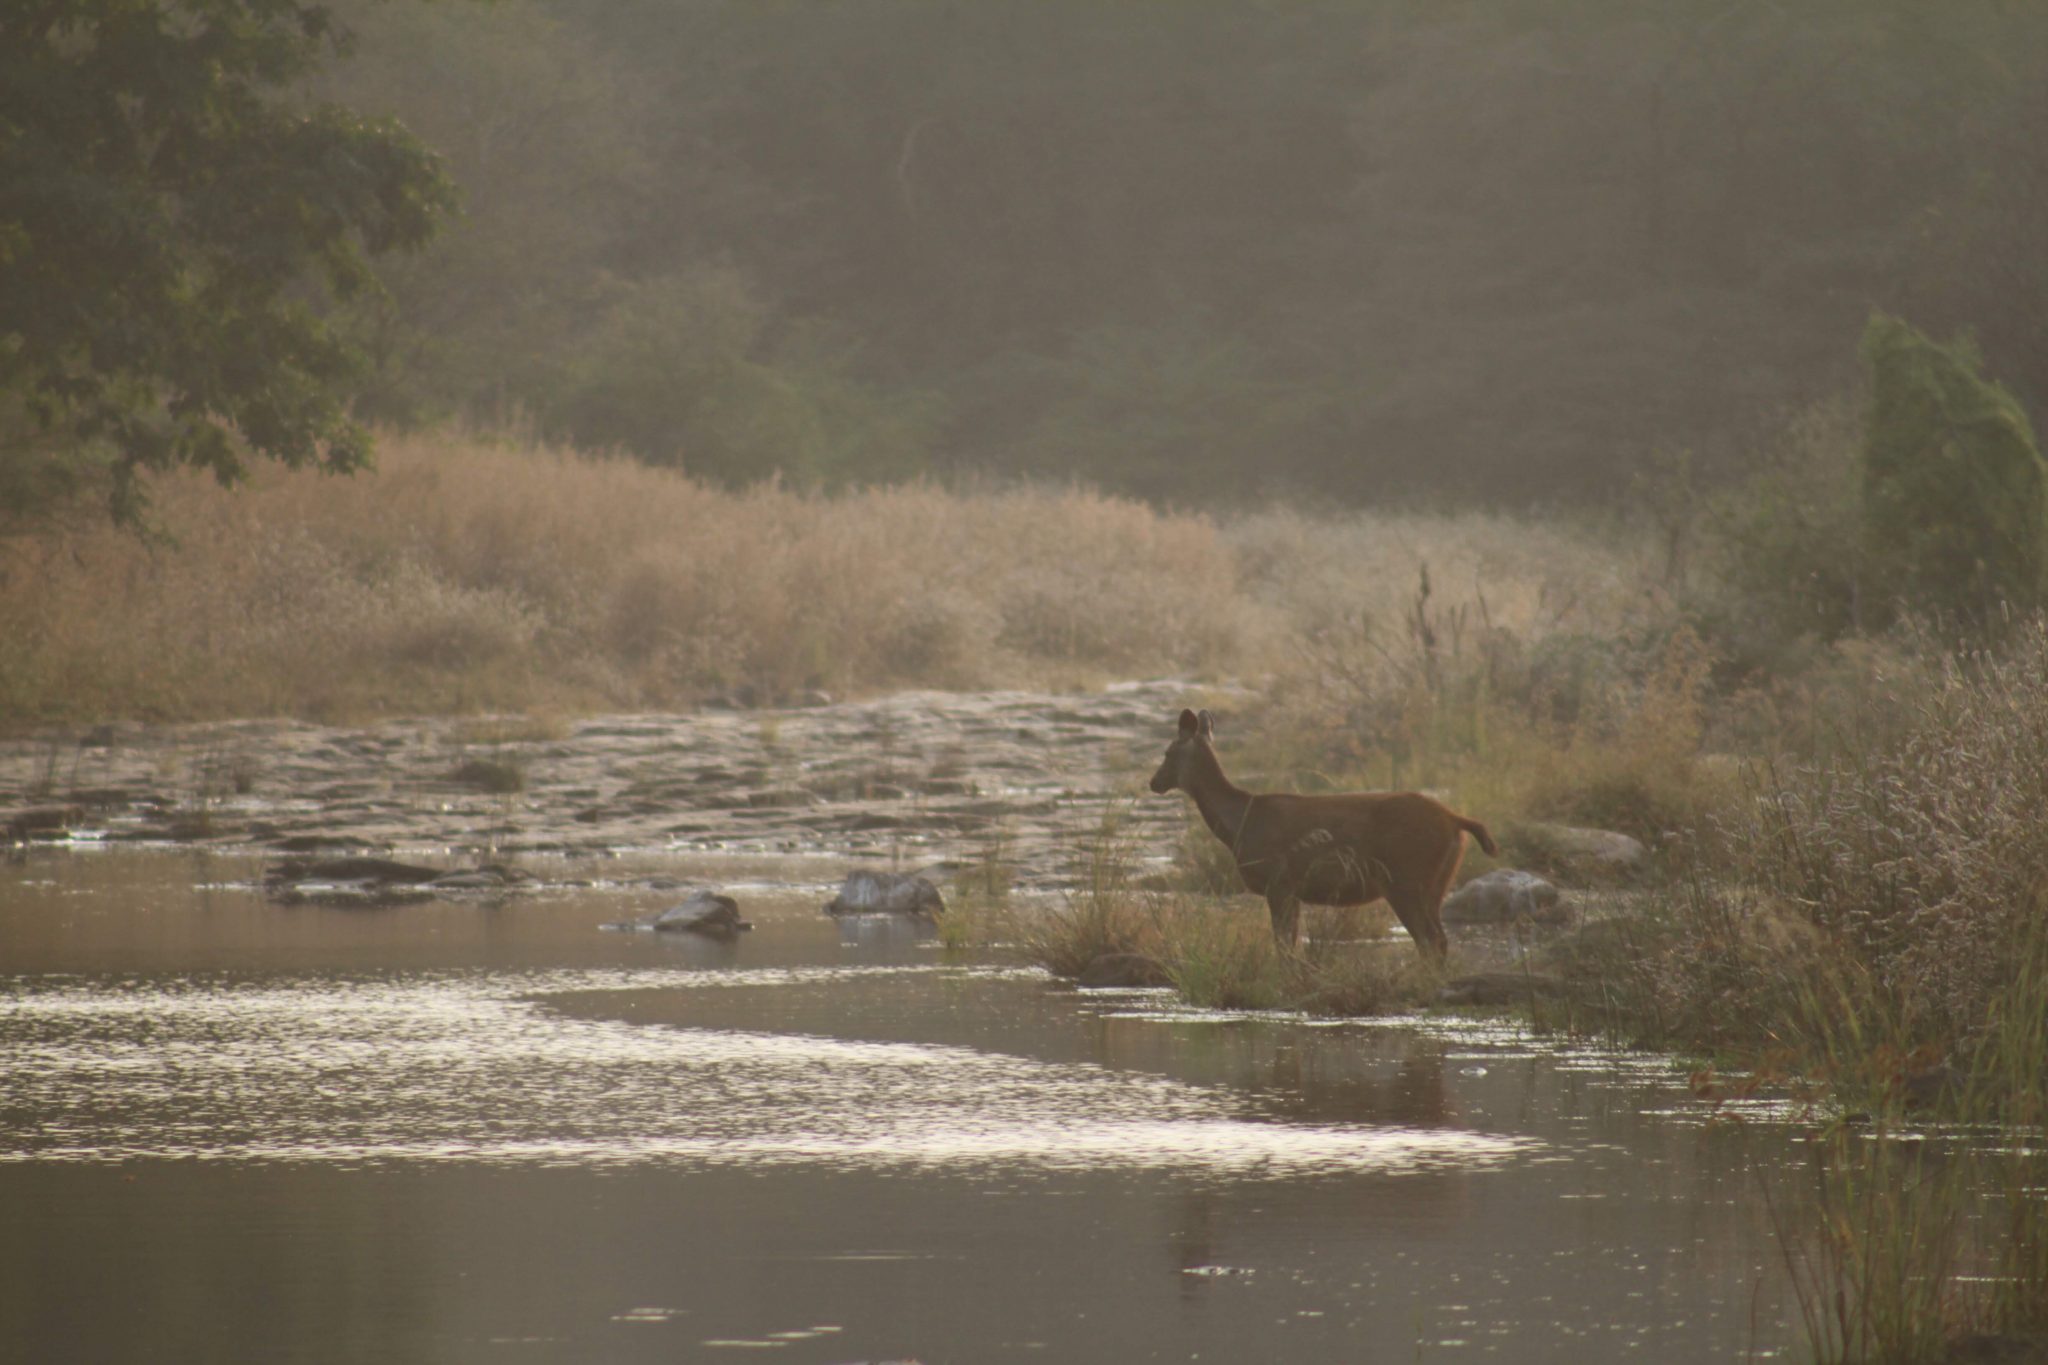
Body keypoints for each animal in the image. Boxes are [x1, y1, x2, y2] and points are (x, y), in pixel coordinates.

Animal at [1146, 703, 1499, 961]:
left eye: (1167, 752)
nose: (1154, 782)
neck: (1240, 824)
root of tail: (1455, 819)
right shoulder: (1292, 889)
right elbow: (1290, 945)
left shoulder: (1278, 881)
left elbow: (1284, 948)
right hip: (1436, 883)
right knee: (1438, 940)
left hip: (1407, 878)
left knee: (1430, 941)